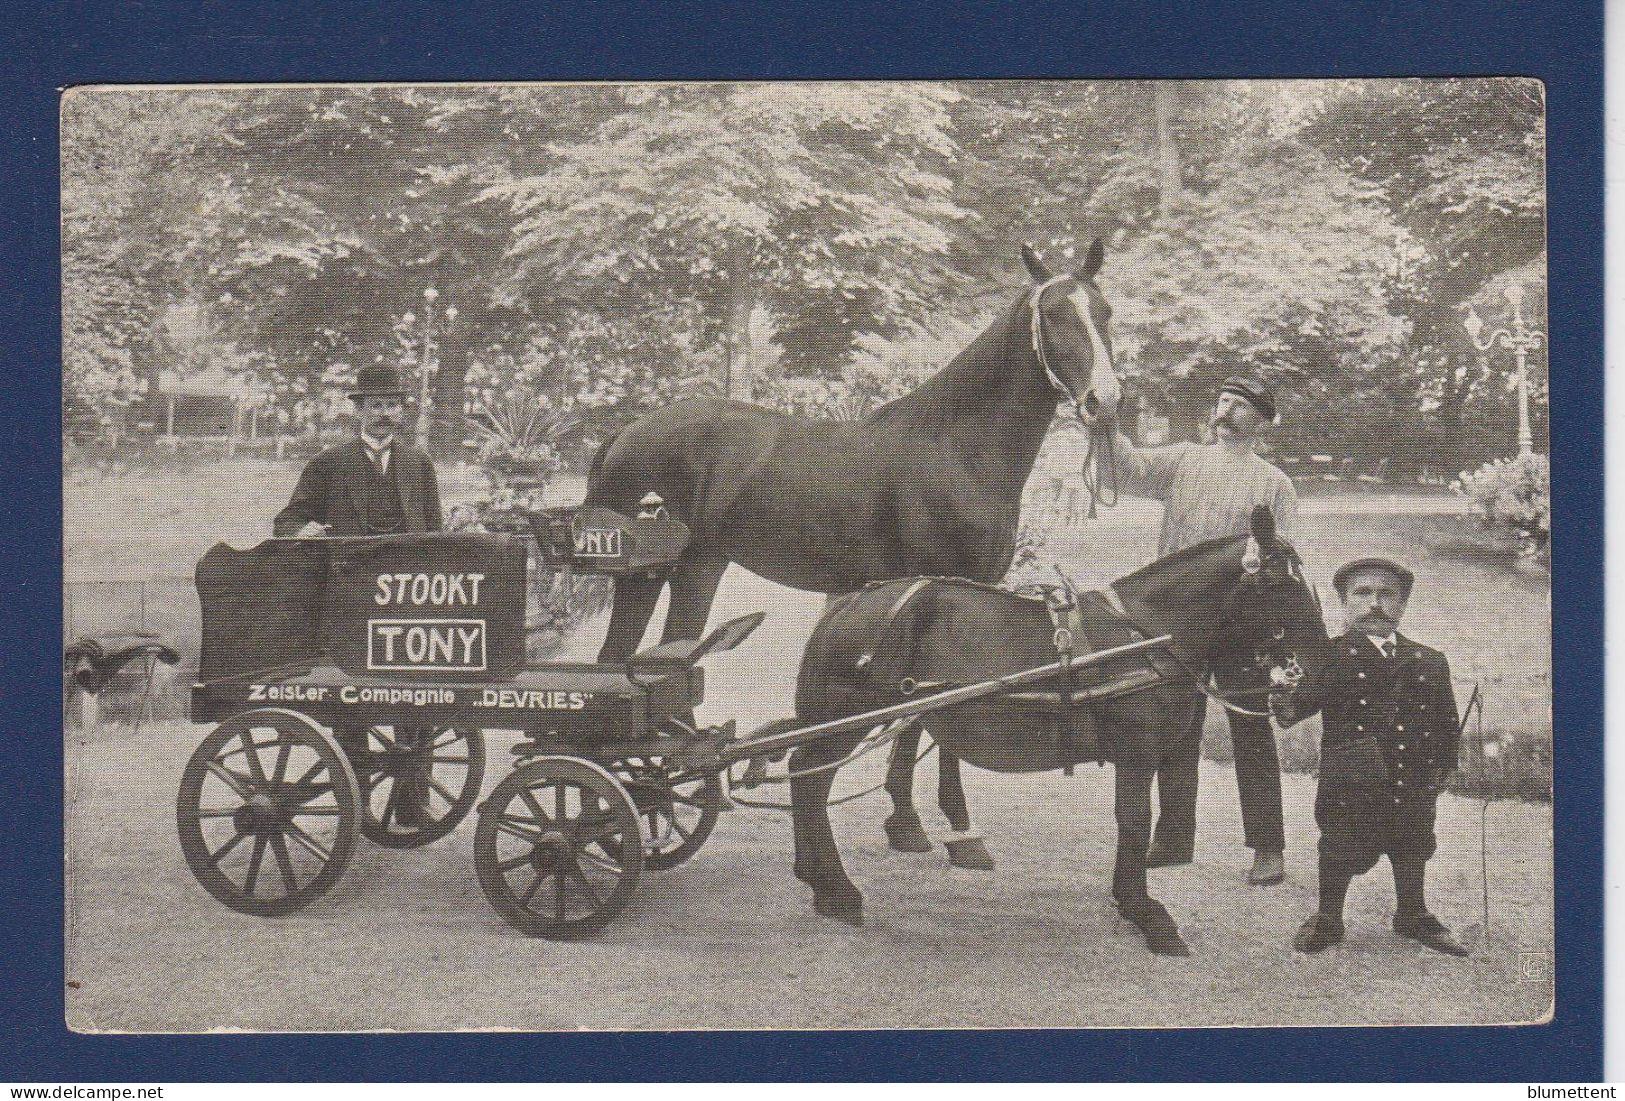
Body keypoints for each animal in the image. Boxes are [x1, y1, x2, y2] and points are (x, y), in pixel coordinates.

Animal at [591, 243, 1124, 870]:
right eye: (1056, 314)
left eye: (1105, 312)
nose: (1105, 401)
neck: (954, 449)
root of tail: (626, 432)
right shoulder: (938, 587)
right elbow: (924, 713)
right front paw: (929, 826)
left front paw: (934, 824)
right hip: (664, 573)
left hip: (679, 572)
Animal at [786, 509, 1332, 954]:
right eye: (1286, 586)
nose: (1319, 669)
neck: (1145, 634)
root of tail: (849, 603)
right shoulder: (1137, 751)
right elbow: (1134, 820)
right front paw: (1144, 911)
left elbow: (1133, 821)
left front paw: (1129, 901)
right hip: (849, 717)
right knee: (809, 778)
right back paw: (836, 890)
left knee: (803, 774)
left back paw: (816, 878)